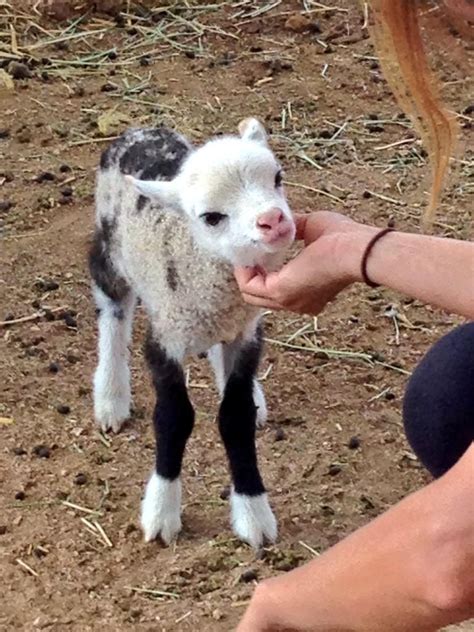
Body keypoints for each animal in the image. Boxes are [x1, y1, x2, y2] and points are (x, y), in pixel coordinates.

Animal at [88, 117, 294, 548]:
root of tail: (140, 130)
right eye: (211, 217)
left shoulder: (244, 332)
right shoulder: (164, 340)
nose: (273, 220)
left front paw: (253, 511)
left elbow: (236, 416)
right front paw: (161, 510)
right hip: (110, 247)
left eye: (278, 178)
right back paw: (111, 396)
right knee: (113, 310)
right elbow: (174, 418)